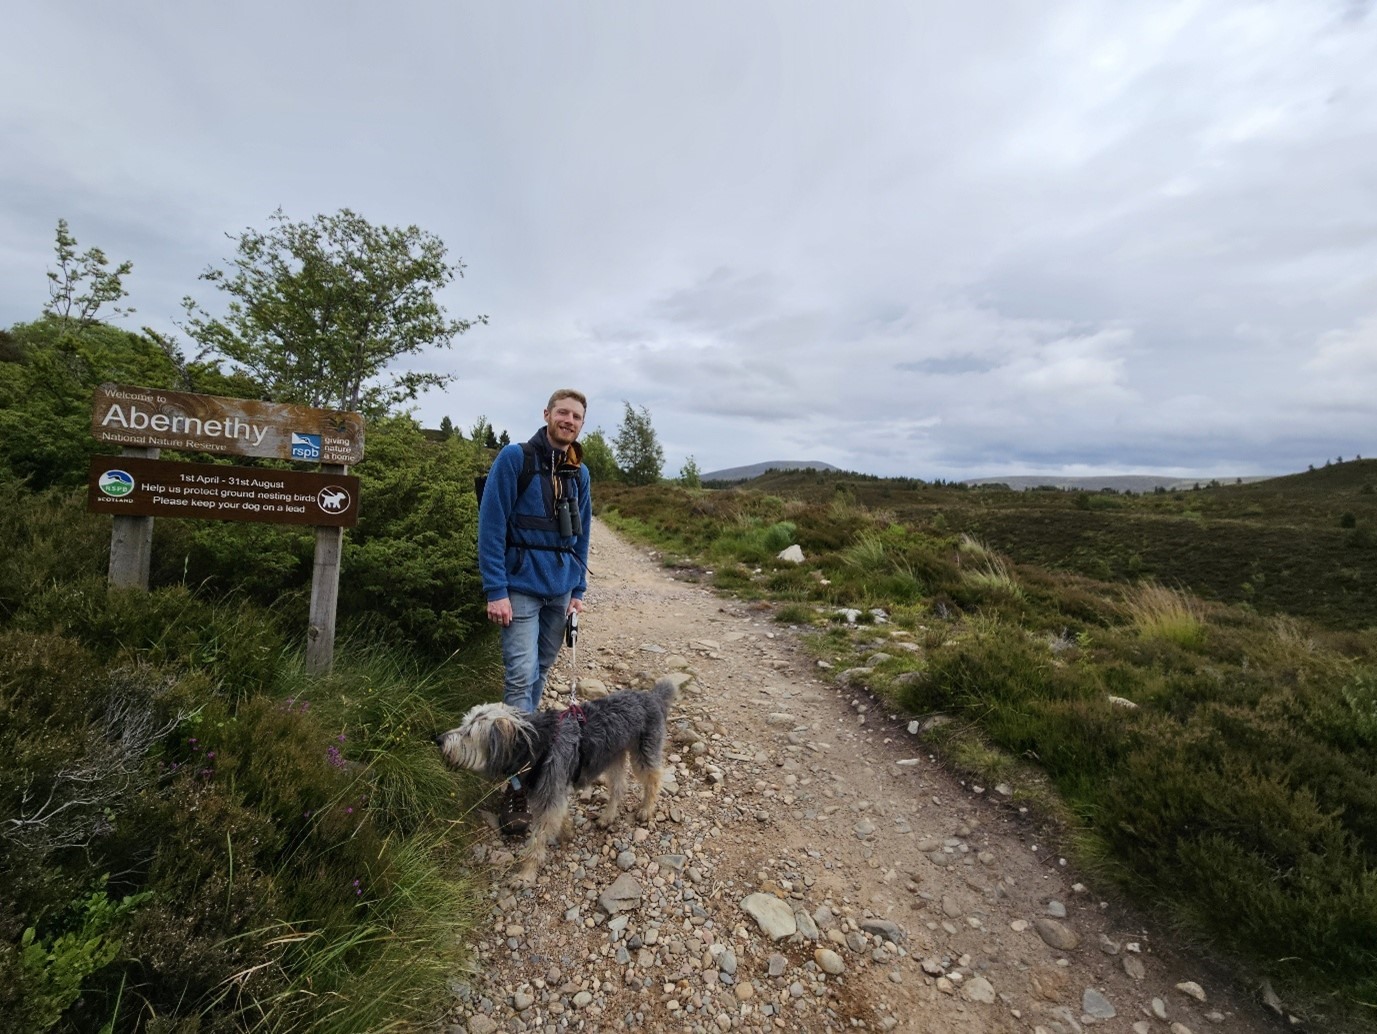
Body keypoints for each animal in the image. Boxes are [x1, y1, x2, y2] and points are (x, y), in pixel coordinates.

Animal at [437, 674, 680, 886]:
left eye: (469, 733)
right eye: (463, 724)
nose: (438, 739)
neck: (537, 744)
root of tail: (652, 696)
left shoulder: (550, 795)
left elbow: (536, 842)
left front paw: (525, 875)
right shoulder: (553, 794)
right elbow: (560, 816)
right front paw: (567, 831)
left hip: (643, 753)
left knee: (654, 779)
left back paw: (646, 809)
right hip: (613, 757)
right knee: (619, 787)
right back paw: (607, 816)